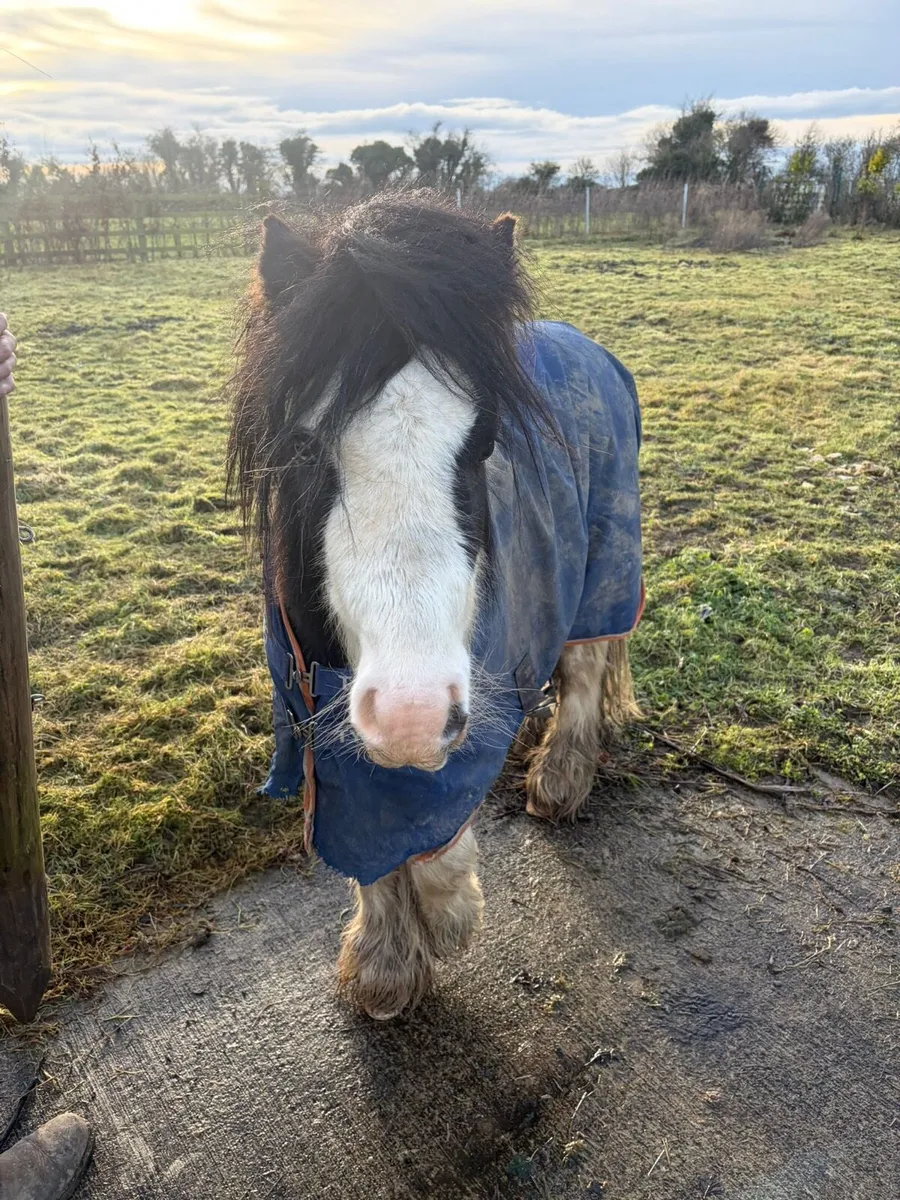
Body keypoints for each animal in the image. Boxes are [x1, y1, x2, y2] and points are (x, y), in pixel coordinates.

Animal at [228, 193, 643, 1020]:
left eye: (484, 442)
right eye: (303, 447)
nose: (412, 715)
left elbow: (434, 825)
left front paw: (450, 915)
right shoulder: (323, 727)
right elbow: (373, 843)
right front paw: (385, 965)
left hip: (605, 567)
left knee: (584, 672)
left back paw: (558, 782)